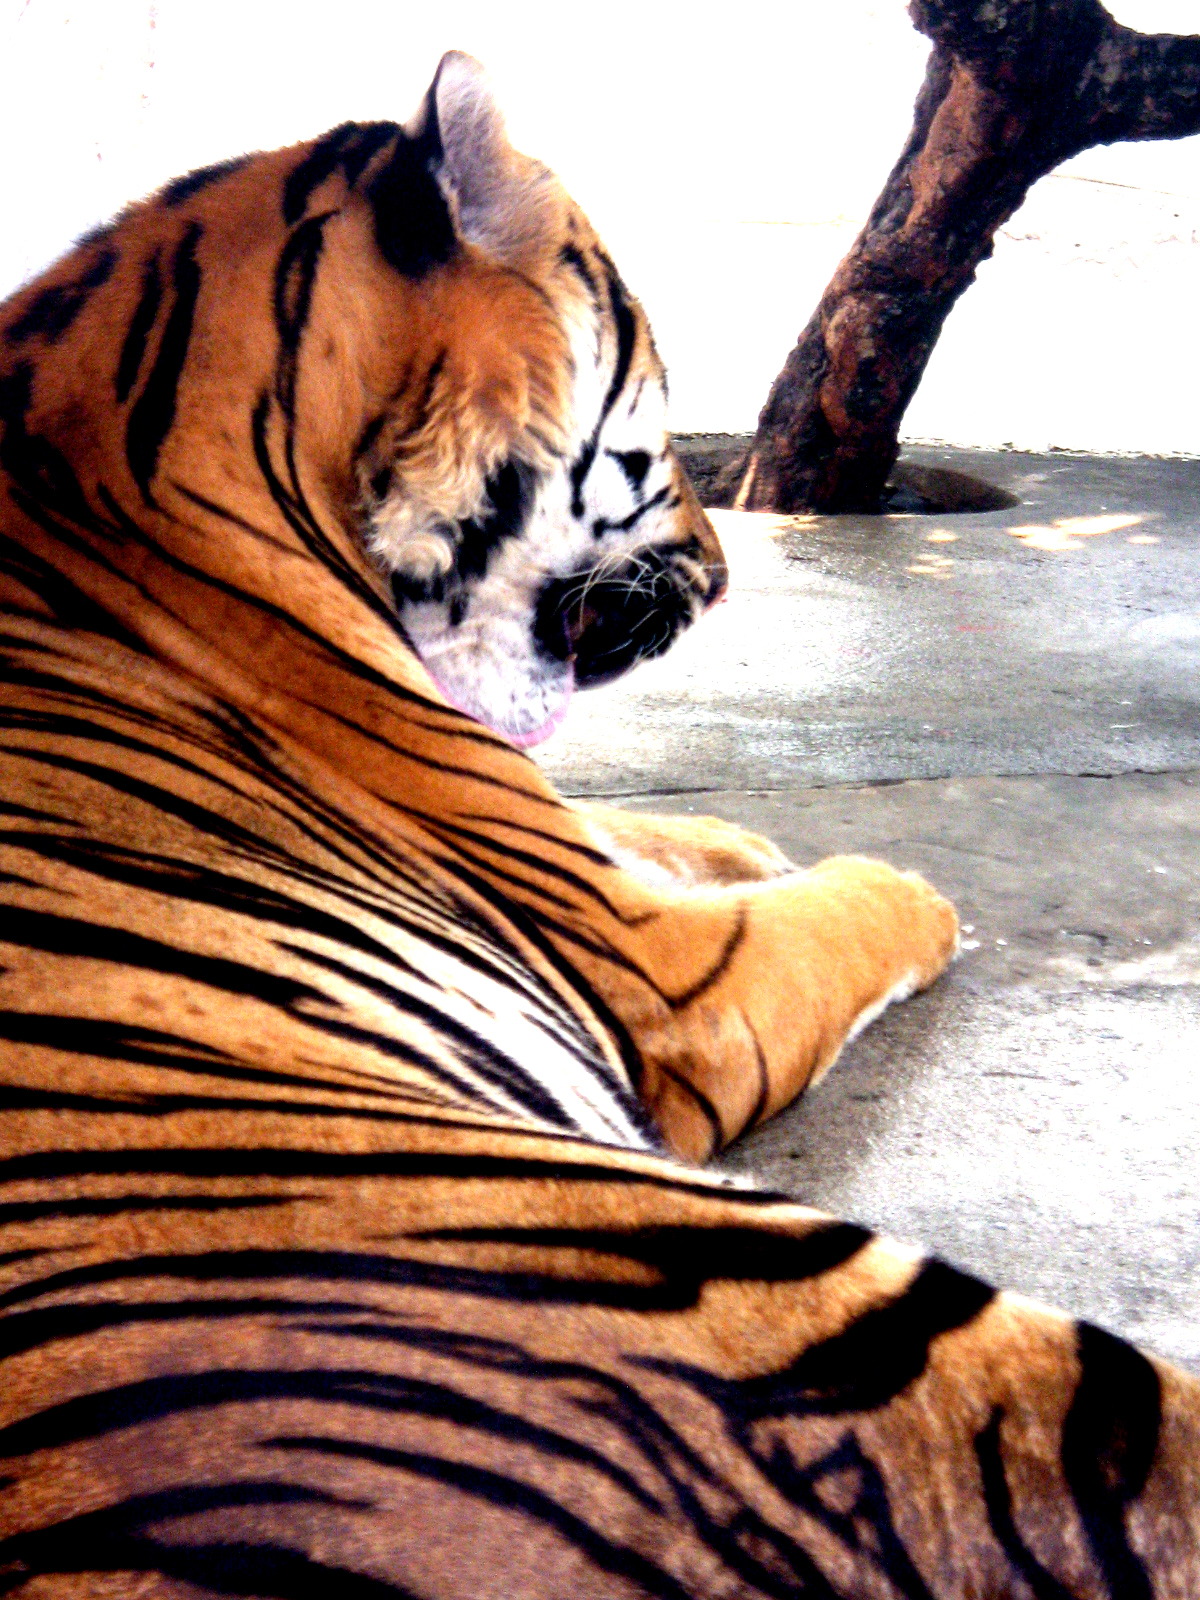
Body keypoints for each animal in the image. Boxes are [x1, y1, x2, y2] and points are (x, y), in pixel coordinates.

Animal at [0, 46, 1196, 1587]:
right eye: (659, 414)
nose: (730, 573)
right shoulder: (680, 975)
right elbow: (850, 901)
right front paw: (913, 889)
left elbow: (656, 830)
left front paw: (746, 843)